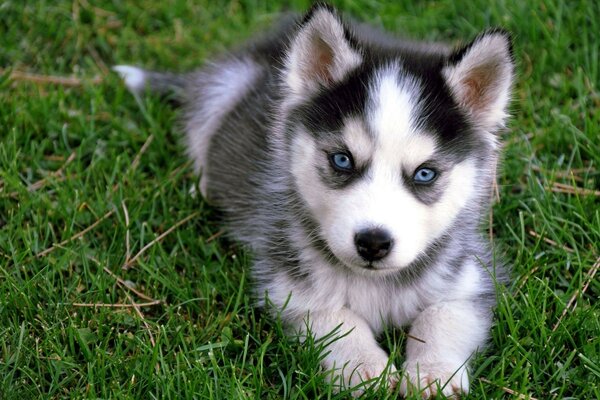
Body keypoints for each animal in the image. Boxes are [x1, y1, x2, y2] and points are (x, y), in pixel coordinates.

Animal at [115, 3, 512, 396]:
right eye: (342, 160)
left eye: (425, 174)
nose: (373, 243)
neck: (372, 283)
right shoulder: (288, 283)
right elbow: (336, 318)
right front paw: (364, 368)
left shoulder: (470, 277)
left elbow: (443, 316)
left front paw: (433, 372)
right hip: (222, 90)